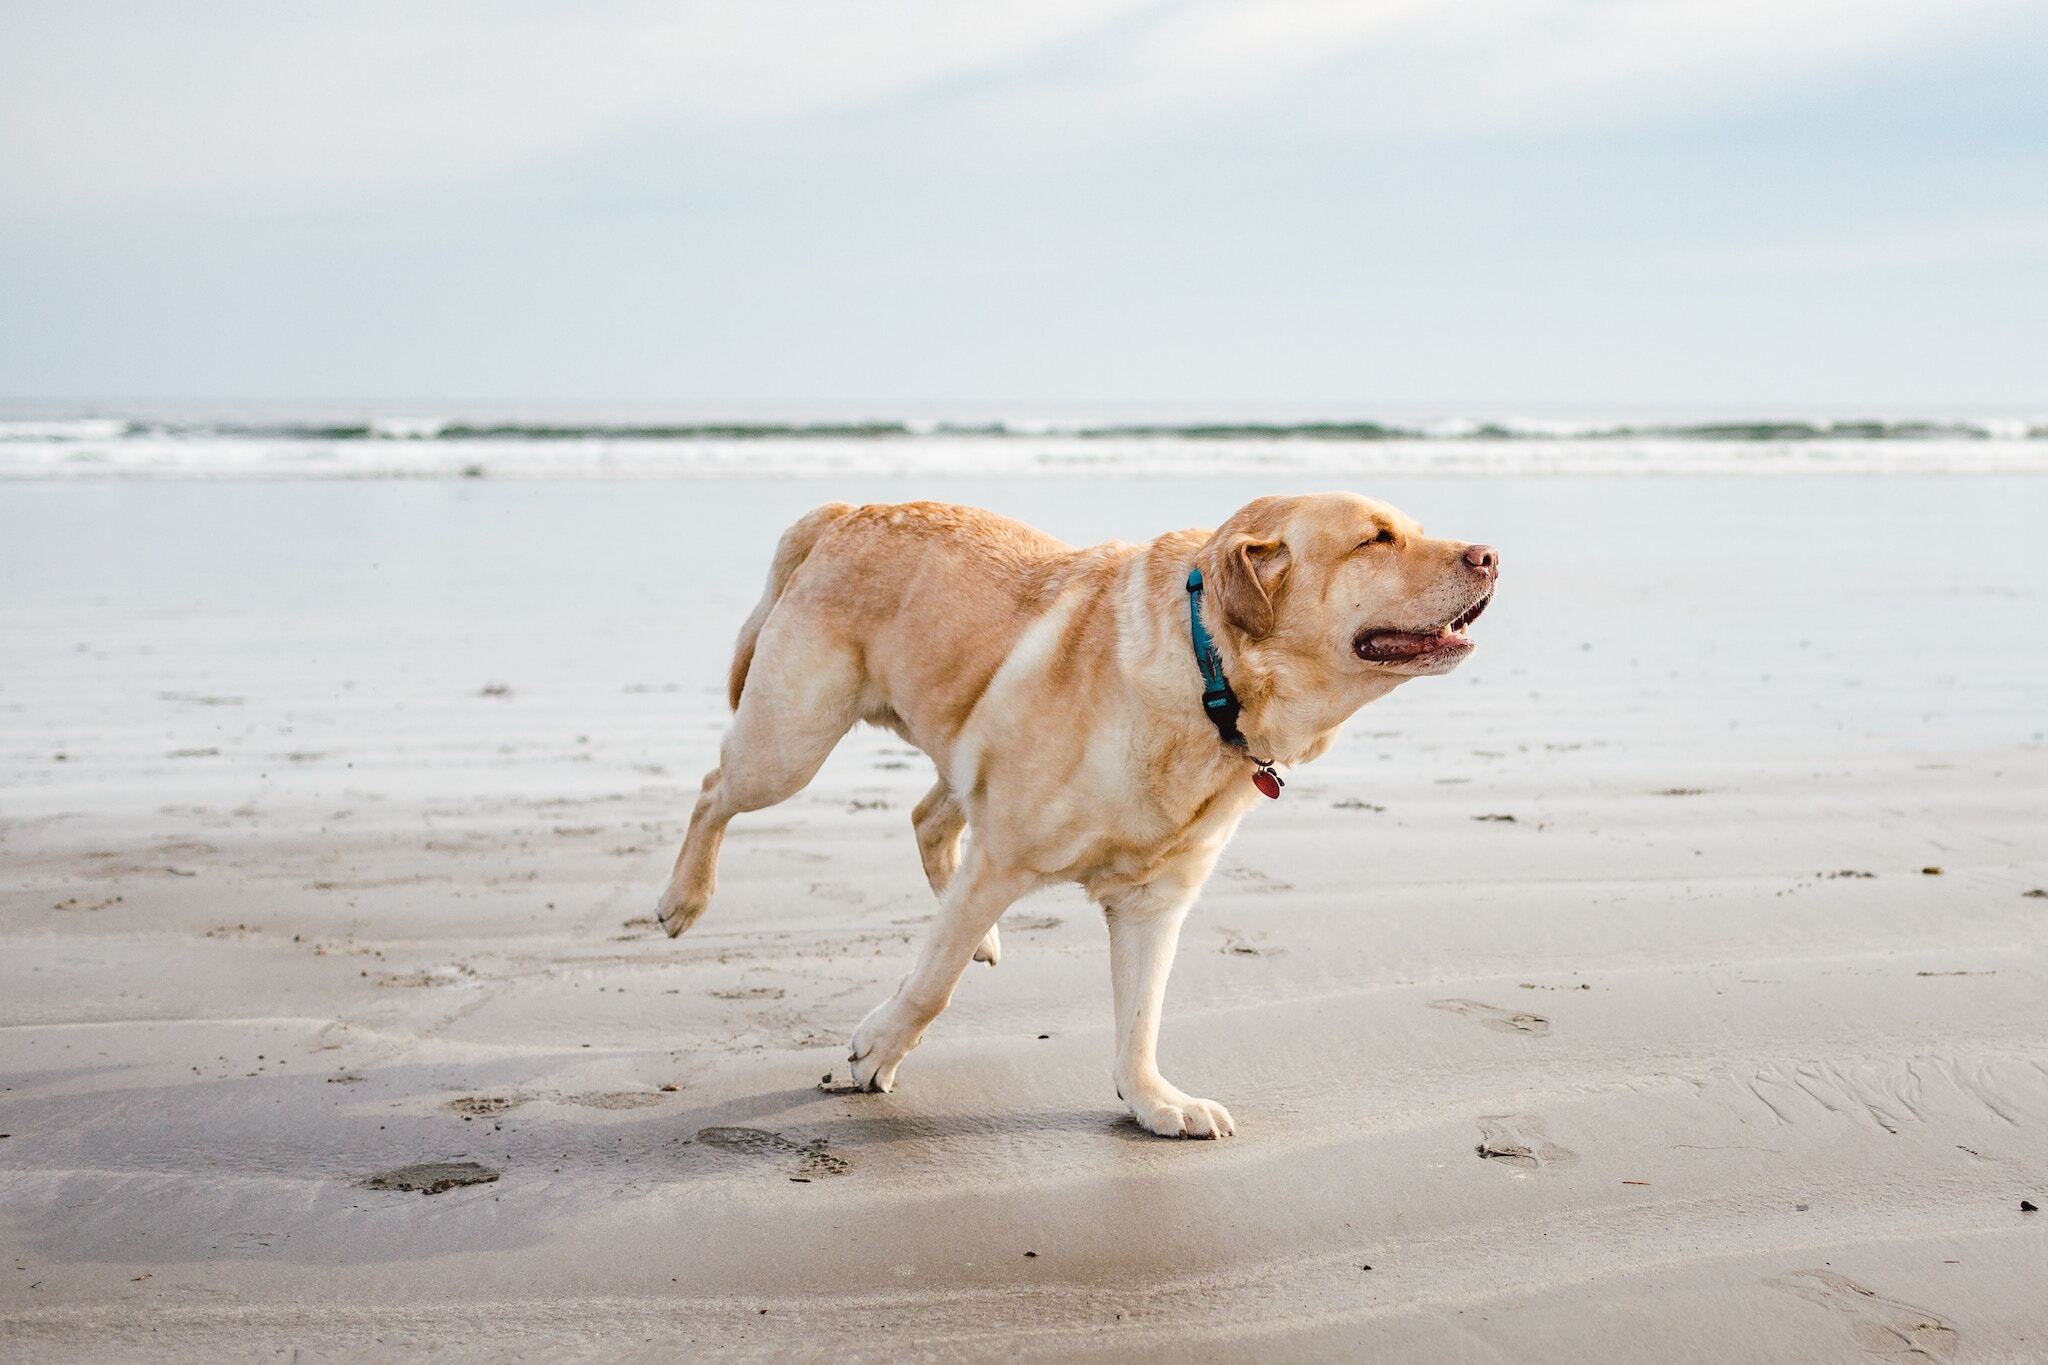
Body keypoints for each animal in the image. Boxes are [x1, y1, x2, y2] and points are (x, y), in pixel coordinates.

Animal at [663, 497, 1499, 1137]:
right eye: (1376, 538)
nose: (1490, 554)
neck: (1207, 678)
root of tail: (844, 510)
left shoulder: (1155, 901)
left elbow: (1141, 1018)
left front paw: (1154, 1101)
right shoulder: (1003, 857)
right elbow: (931, 985)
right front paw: (879, 1050)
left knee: (928, 818)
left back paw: (979, 937)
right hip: (789, 743)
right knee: (712, 788)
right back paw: (683, 898)